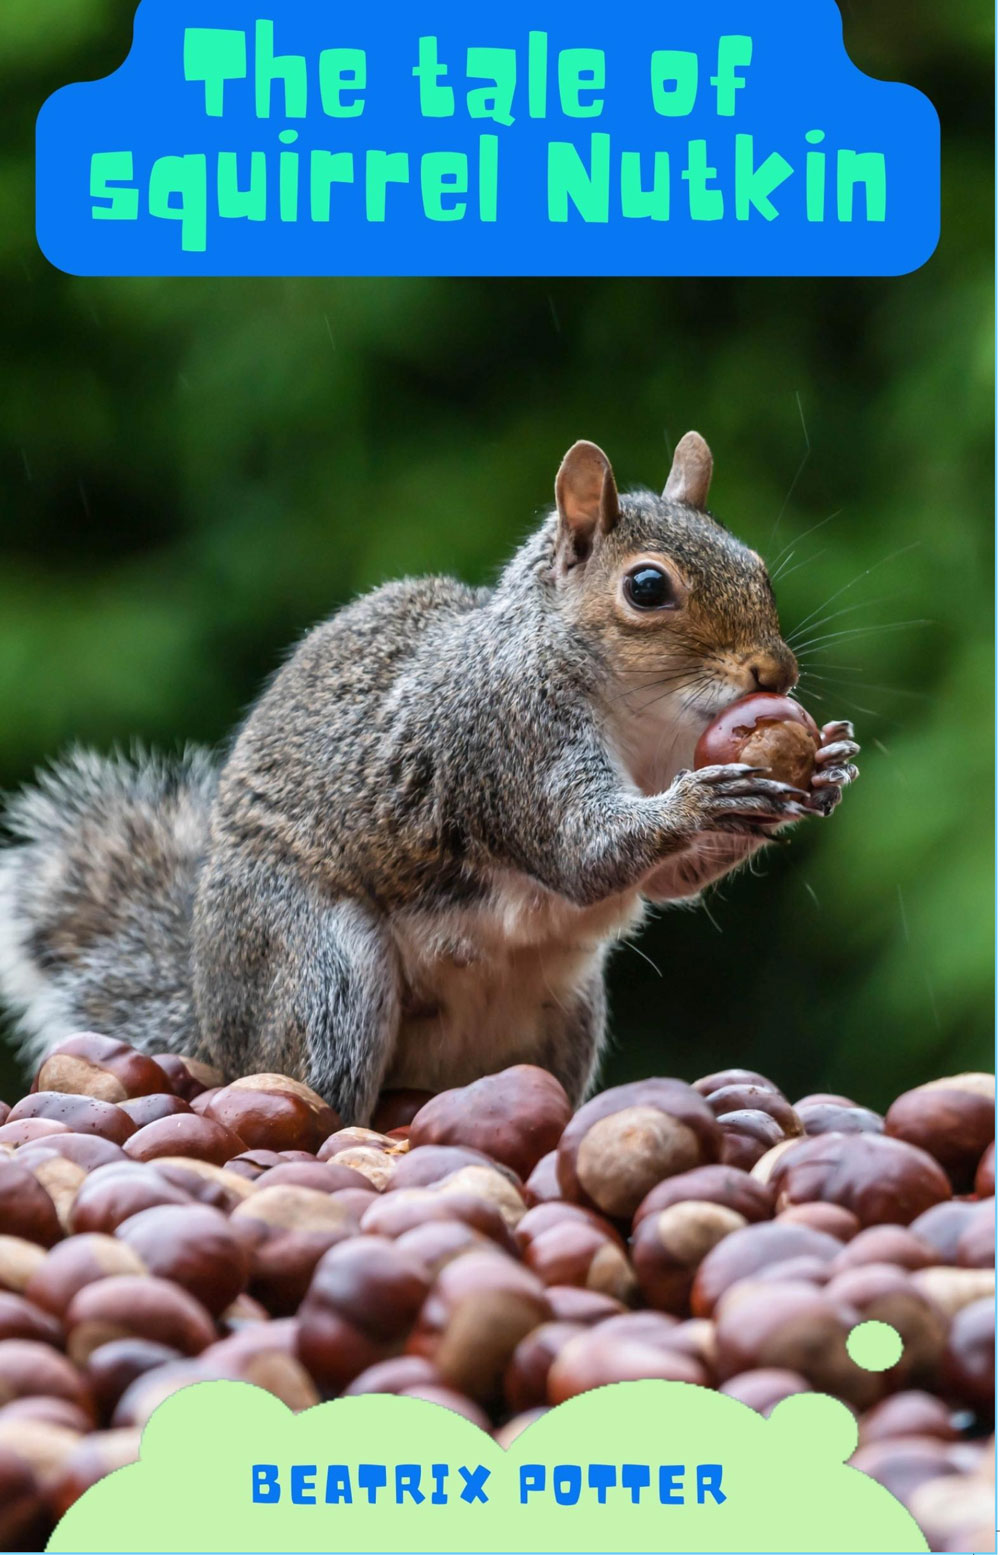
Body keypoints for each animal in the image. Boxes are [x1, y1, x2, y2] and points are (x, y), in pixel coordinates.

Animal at [0, 433, 859, 1121]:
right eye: (648, 587)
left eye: (757, 567)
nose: (776, 671)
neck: (640, 711)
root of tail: (214, 1029)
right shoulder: (503, 739)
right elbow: (582, 850)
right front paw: (703, 798)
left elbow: (669, 880)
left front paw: (818, 769)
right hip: (322, 971)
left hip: (567, 1014)